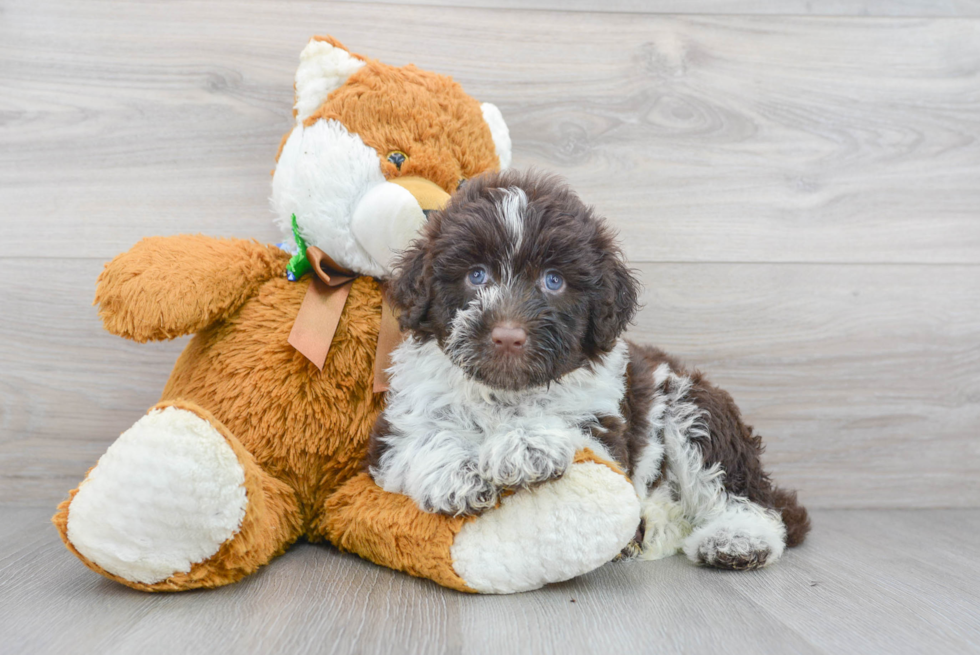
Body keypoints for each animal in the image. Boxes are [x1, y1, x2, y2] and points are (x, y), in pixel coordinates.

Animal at [370, 172, 812, 572]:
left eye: (553, 280)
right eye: (476, 275)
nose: (508, 336)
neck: (506, 393)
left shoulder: (606, 430)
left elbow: (570, 426)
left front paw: (526, 443)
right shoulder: (393, 433)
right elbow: (424, 439)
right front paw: (458, 475)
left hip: (692, 405)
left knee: (746, 494)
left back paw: (737, 540)